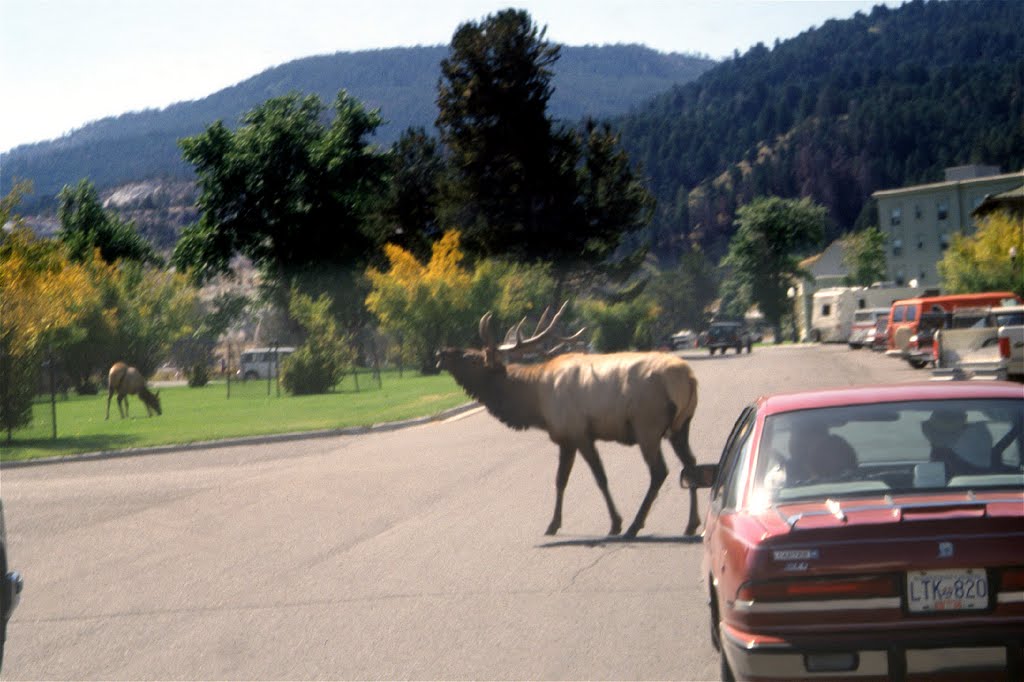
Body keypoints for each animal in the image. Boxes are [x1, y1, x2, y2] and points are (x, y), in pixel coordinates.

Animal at [436, 303, 700, 536]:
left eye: (473, 357)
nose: (441, 352)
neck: (535, 403)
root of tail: (688, 378)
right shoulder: (568, 439)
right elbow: (561, 481)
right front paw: (556, 523)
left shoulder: (577, 433)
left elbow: (595, 478)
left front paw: (614, 523)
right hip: (681, 427)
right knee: (691, 464)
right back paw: (691, 524)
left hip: (647, 426)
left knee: (659, 472)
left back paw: (635, 526)